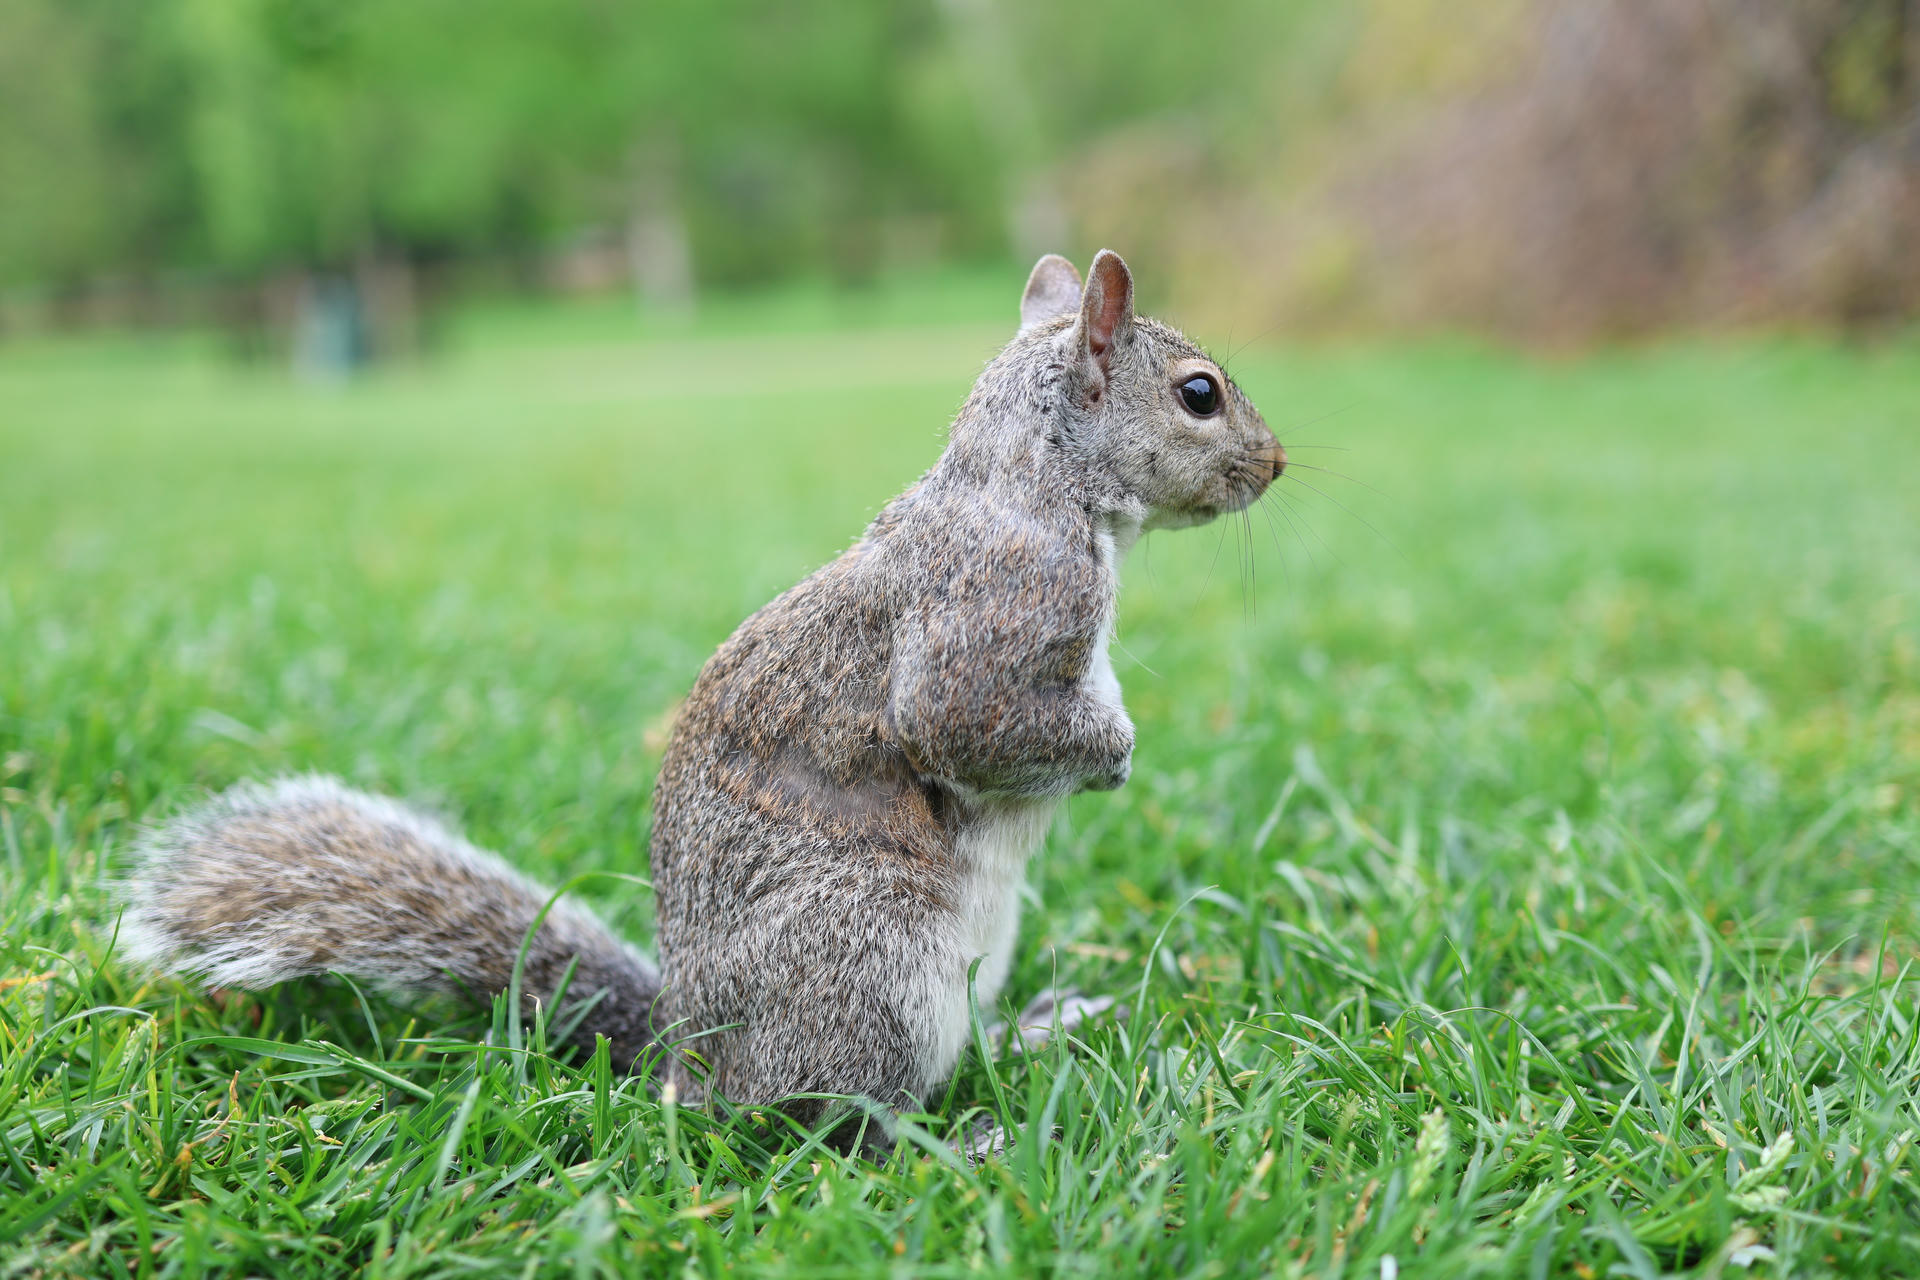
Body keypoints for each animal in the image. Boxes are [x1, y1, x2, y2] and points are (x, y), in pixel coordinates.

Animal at [120, 250, 1283, 1140]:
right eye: (1198, 392)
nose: (1276, 464)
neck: (1036, 483)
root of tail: (689, 1064)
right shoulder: (994, 612)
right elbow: (966, 724)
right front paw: (1113, 754)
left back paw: (1030, 1030)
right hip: (870, 960)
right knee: (829, 1119)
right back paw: (952, 1140)